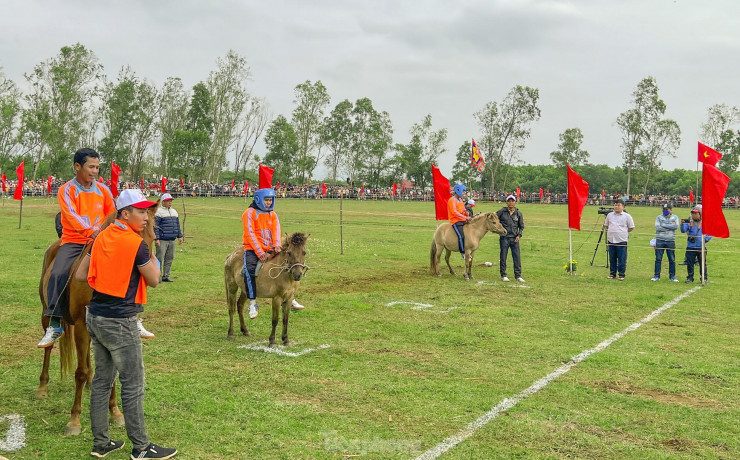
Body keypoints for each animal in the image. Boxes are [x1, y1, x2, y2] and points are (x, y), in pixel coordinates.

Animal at [37, 205, 158, 434]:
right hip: (47, 314)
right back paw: (42, 386)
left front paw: (115, 412)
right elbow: (80, 371)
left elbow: (110, 373)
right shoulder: (81, 326)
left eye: (153, 239)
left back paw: (91, 383)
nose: (146, 277)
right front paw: (74, 420)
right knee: (49, 347)